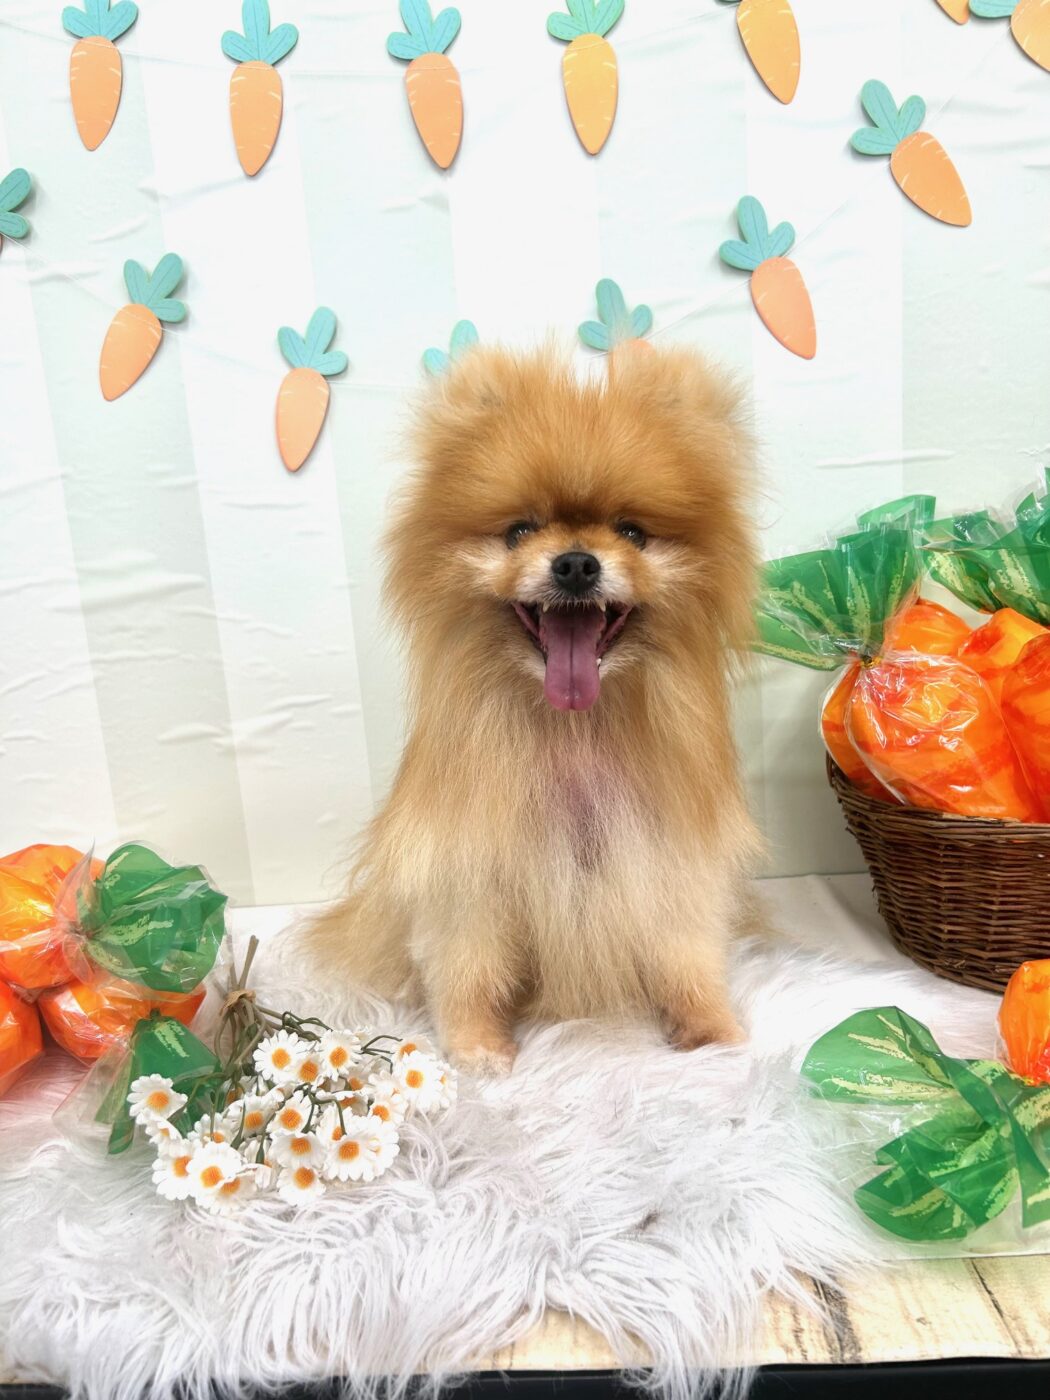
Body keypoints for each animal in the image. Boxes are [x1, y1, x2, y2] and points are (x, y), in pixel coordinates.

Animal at [302, 344, 763, 1073]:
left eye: (633, 532)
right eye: (519, 531)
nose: (576, 563)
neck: (573, 728)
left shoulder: (665, 857)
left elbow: (685, 955)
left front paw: (711, 1030)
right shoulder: (471, 872)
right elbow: (469, 968)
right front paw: (478, 1048)